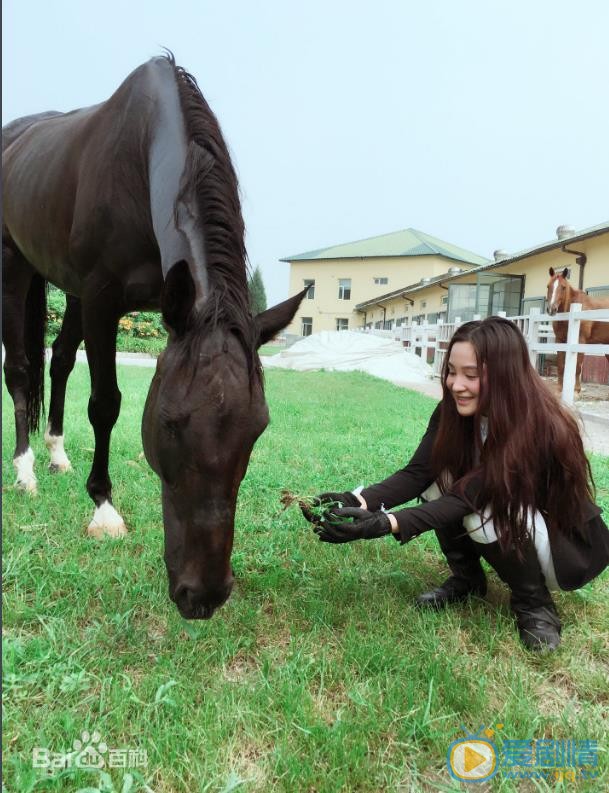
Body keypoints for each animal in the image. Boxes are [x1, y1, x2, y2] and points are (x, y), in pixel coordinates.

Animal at [4, 55, 306, 620]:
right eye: (168, 424)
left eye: (258, 430)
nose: (203, 597)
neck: (141, 160)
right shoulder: (102, 300)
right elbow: (105, 403)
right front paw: (103, 509)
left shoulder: (98, 297)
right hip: (14, 266)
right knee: (20, 370)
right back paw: (25, 470)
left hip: (67, 288)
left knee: (59, 362)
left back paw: (55, 454)